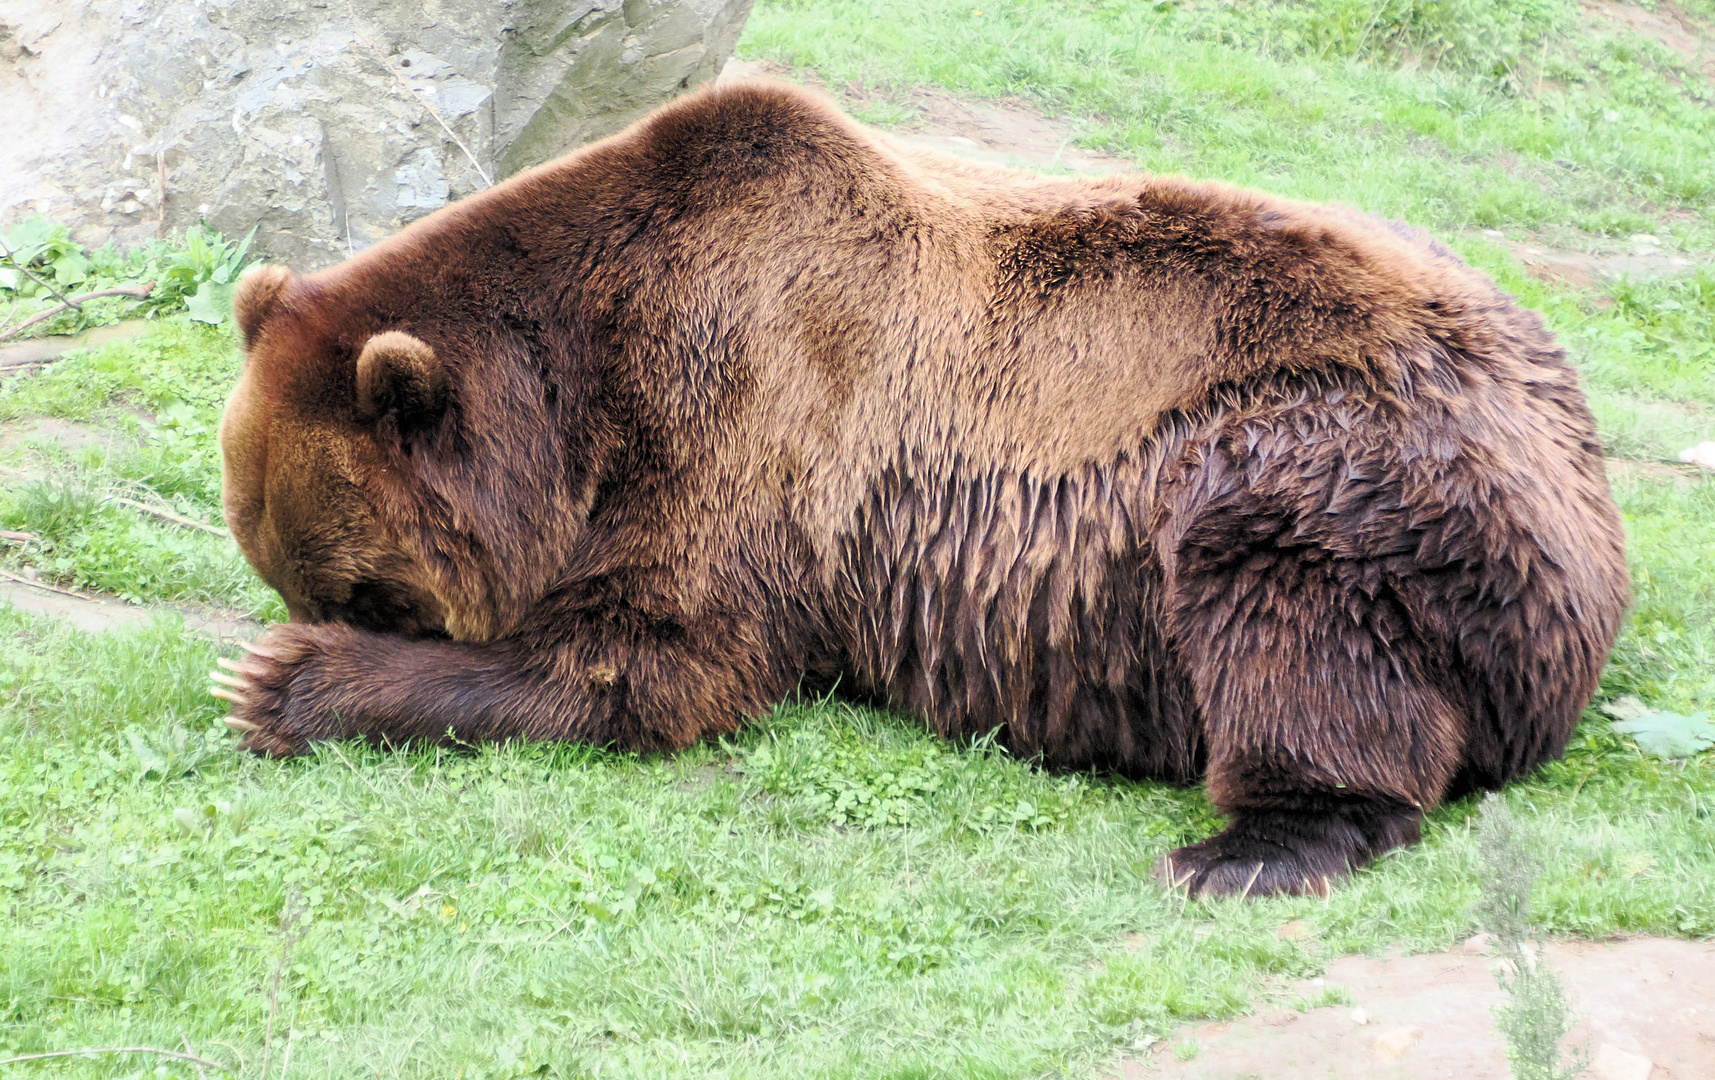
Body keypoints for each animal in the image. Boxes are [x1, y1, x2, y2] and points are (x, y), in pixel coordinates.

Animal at [217, 78, 1632, 905]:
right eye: (288, 564)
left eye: (365, 588)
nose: (314, 616)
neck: (581, 386)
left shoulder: (737, 418)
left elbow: (644, 660)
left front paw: (278, 684)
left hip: (1340, 466)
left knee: (1289, 613)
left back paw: (1243, 848)